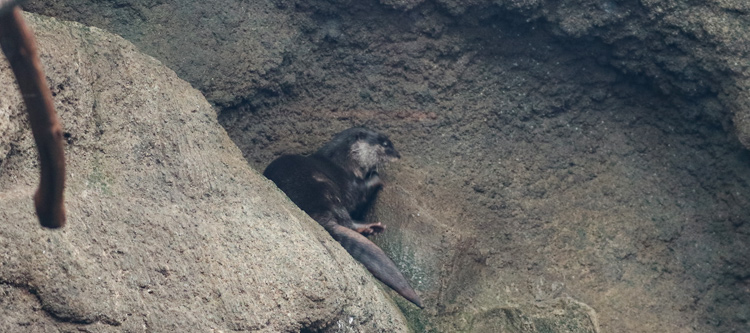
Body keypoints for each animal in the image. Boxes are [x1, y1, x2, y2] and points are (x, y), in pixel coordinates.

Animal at [266, 126, 426, 306]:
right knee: (347, 222)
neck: (344, 163)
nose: (398, 155)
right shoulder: (349, 184)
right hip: (324, 188)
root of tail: (315, 214)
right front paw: (377, 177)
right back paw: (370, 227)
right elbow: (360, 193)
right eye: (385, 144)